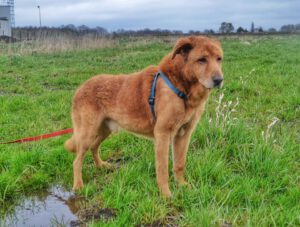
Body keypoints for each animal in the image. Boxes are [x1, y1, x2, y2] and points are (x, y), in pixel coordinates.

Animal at [64, 35, 223, 197]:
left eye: (219, 59)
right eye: (202, 59)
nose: (219, 80)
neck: (181, 86)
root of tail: (80, 88)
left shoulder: (184, 135)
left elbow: (179, 164)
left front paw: (182, 185)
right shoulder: (162, 134)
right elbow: (162, 169)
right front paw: (166, 195)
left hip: (105, 130)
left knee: (94, 147)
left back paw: (101, 166)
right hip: (87, 133)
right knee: (77, 161)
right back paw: (78, 185)